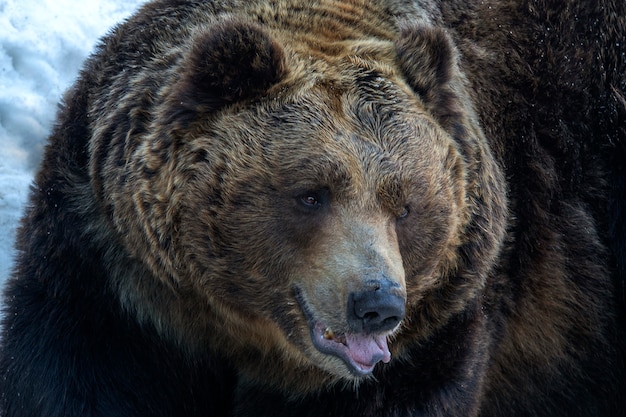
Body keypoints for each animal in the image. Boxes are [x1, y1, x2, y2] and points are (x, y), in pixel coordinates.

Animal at [1, 0, 624, 416]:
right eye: (310, 194)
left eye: (406, 205)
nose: (376, 304)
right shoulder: (113, 284)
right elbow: (69, 381)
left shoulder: (440, 327)